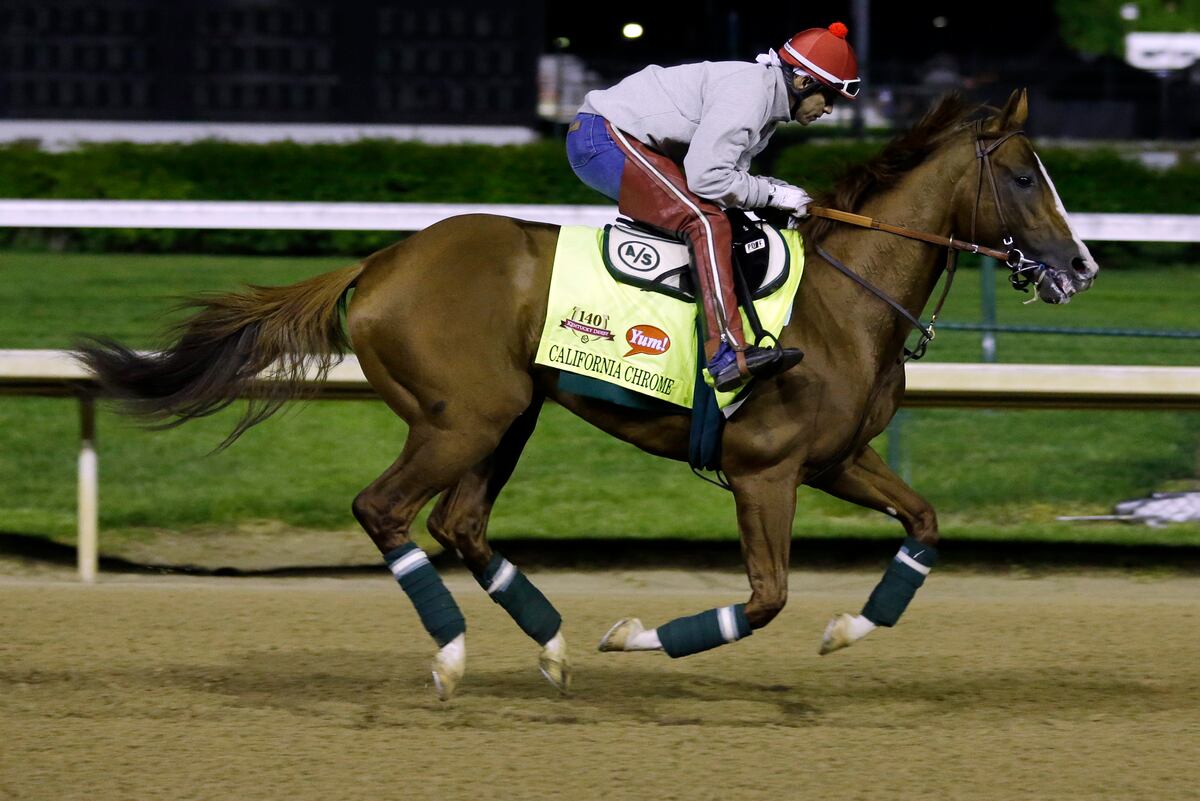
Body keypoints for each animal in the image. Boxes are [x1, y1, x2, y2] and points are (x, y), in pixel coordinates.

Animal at [77, 90, 1098, 700]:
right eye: (1023, 173)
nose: (1081, 267)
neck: (843, 300)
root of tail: (380, 261)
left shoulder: (840, 458)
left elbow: (923, 524)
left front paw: (849, 629)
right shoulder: (766, 471)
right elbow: (764, 599)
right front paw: (632, 635)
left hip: (507, 416)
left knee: (459, 522)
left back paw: (549, 643)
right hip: (463, 418)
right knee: (386, 509)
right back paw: (453, 654)